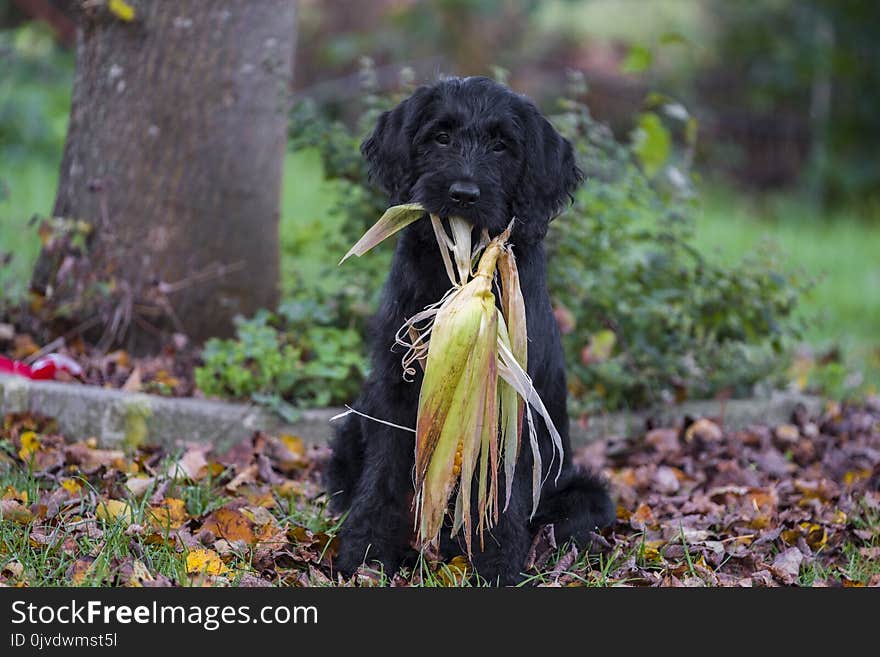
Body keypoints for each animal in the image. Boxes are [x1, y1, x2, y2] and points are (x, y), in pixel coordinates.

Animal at [324, 77, 612, 584]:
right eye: (441, 136)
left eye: (502, 145)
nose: (463, 193)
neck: (460, 272)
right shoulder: (396, 394)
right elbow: (382, 476)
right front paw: (365, 553)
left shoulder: (512, 405)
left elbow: (503, 491)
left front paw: (496, 565)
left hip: (584, 492)